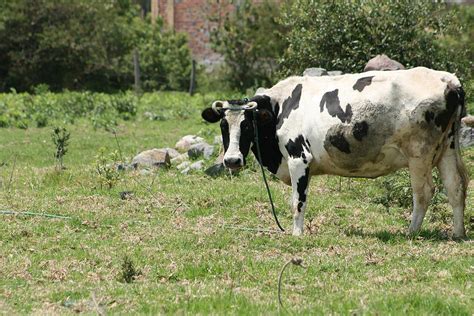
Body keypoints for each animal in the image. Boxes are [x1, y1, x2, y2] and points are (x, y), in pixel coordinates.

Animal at [202, 68, 468, 237]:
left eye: (248, 125)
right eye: (223, 125)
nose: (232, 160)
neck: (280, 108)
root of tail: (450, 80)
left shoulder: (299, 158)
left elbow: (298, 201)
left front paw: (296, 234)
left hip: (419, 153)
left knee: (424, 192)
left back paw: (411, 232)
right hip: (447, 149)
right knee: (455, 188)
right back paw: (458, 233)